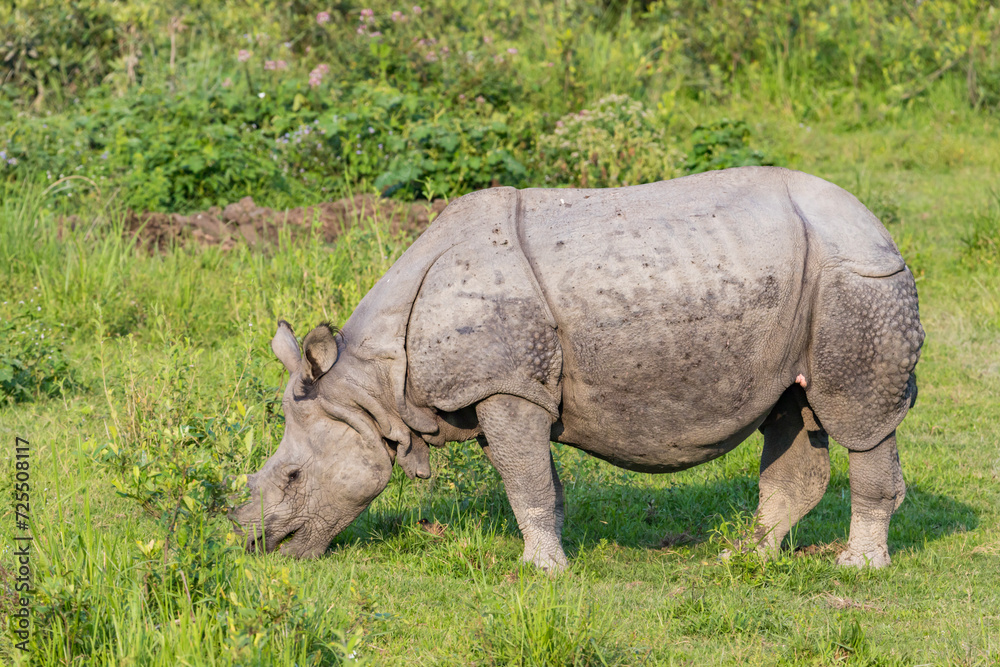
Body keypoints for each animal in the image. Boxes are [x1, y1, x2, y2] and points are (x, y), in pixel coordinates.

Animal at [232, 166, 923, 570]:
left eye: (293, 477)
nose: (260, 549)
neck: (375, 384)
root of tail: (877, 225)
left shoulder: (505, 387)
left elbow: (525, 481)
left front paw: (539, 572)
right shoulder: (506, 390)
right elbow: (536, 480)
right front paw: (554, 557)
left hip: (856, 280)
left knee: (860, 421)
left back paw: (858, 566)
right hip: (804, 287)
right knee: (792, 410)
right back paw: (744, 557)